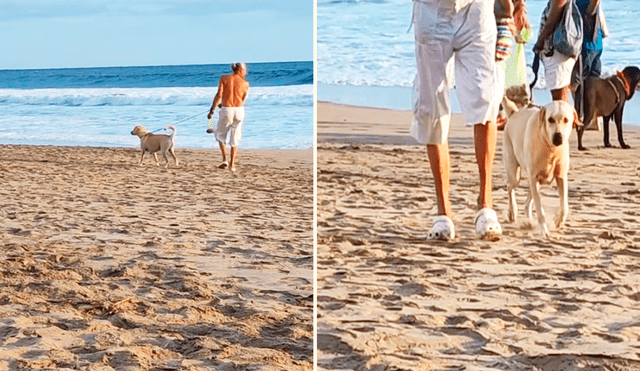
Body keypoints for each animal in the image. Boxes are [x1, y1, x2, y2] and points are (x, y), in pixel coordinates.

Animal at [502, 99, 584, 238]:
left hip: (538, 180)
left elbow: (565, 206)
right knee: (510, 186)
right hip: (515, 173)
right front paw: (544, 231)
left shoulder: (561, 176)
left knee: (528, 201)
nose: (558, 137)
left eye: (566, 120)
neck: (551, 149)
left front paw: (558, 220)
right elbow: (540, 208)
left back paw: (529, 219)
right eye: (550, 119)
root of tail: (514, 113)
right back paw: (512, 212)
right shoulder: (534, 176)